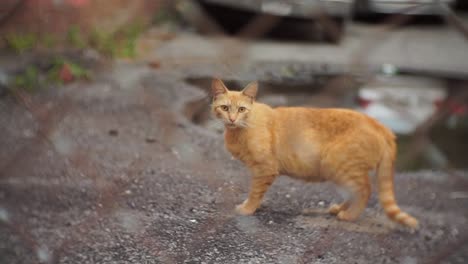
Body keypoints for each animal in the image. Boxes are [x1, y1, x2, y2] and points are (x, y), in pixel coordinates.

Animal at [210, 78, 418, 229]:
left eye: (242, 109)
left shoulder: (265, 169)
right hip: (339, 172)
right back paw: (338, 209)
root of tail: (382, 126)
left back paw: (349, 216)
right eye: (225, 108)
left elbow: (255, 193)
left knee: (365, 191)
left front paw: (247, 209)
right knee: (354, 193)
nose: (232, 119)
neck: (241, 129)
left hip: (339, 165)